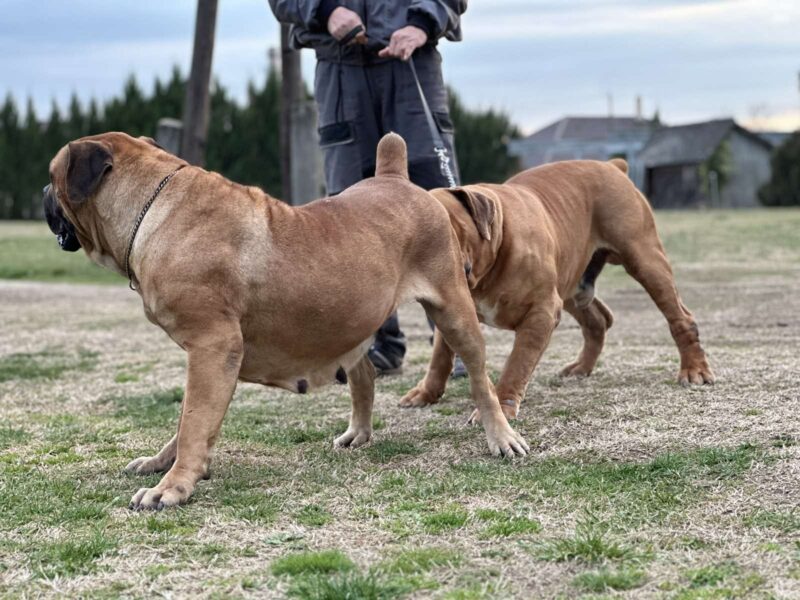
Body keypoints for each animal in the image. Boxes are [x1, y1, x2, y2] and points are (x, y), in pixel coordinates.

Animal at [43, 134, 532, 508]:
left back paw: (501, 437)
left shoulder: (211, 348)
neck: (153, 208)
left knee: (481, 382)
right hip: (351, 320)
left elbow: (194, 422)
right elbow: (187, 422)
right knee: (365, 374)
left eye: (51, 177)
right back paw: (358, 433)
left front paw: (172, 488)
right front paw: (163, 465)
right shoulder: (209, 357)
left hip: (454, 310)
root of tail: (395, 177)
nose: (42, 196)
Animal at [400, 159, 712, 422]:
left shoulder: (541, 311)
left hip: (645, 261)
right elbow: (440, 356)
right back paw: (581, 367)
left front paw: (502, 406)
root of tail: (613, 165)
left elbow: (517, 363)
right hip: (572, 284)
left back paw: (694, 369)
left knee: (680, 318)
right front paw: (425, 393)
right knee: (598, 320)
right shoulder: (453, 309)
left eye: (443, 225)